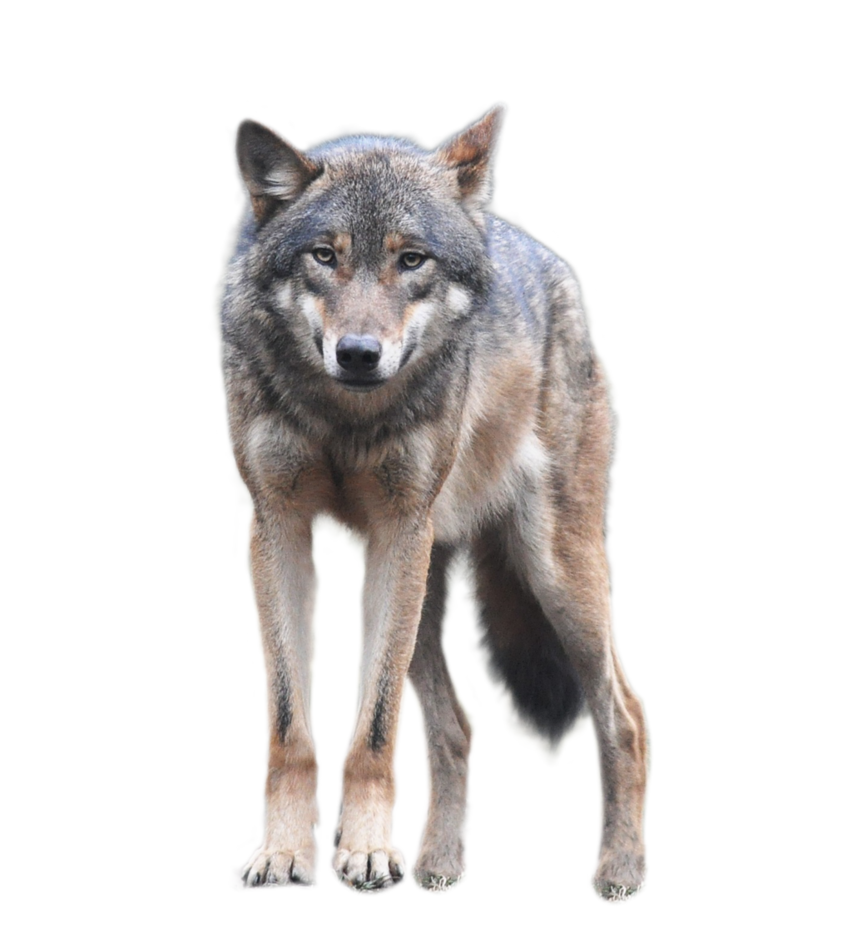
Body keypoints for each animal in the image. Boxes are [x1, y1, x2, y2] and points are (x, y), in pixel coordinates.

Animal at [222, 103, 650, 901]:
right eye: (324, 256)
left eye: (412, 260)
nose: (359, 353)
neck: (347, 419)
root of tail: (536, 252)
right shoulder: (276, 529)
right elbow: (292, 728)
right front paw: (284, 854)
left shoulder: (397, 533)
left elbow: (375, 728)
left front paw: (363, 854)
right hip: (425, 587)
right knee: (458, 729)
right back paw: (438, 864)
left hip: (548, 569)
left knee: (624, 710)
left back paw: (620, 868)